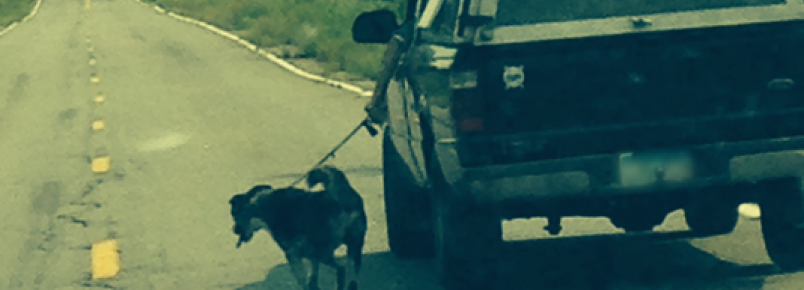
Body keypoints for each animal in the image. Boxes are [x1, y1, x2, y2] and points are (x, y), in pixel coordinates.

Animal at [229, 165, 368, 290]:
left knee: (341, 269)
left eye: (234, 216)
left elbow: (301, 277)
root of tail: (339, 197)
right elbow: (313, 269)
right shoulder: (306, 250)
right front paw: (313, 283)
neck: (259, 203)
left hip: (322, 251)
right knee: (351, 273)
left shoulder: (292, 252)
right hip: (354, 246)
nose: (234, 230)